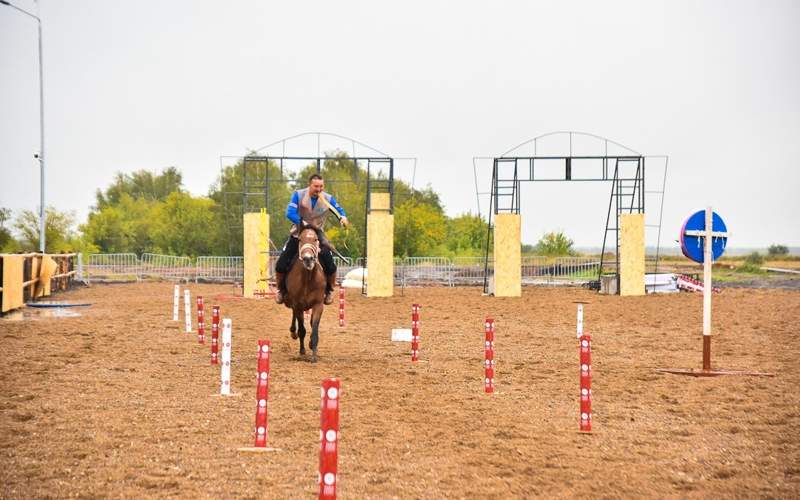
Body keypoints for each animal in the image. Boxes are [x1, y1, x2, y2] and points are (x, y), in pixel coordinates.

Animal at [282, 225, 326, 362]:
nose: (308, 259)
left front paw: (314, 353)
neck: (308, 278)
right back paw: (293, 332)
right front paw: (302, 351)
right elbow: (302, 330)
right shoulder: (298, 305)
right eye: (300, 239)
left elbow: (315, 328)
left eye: (316, 239)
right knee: (294, 316)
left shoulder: (318, 305)